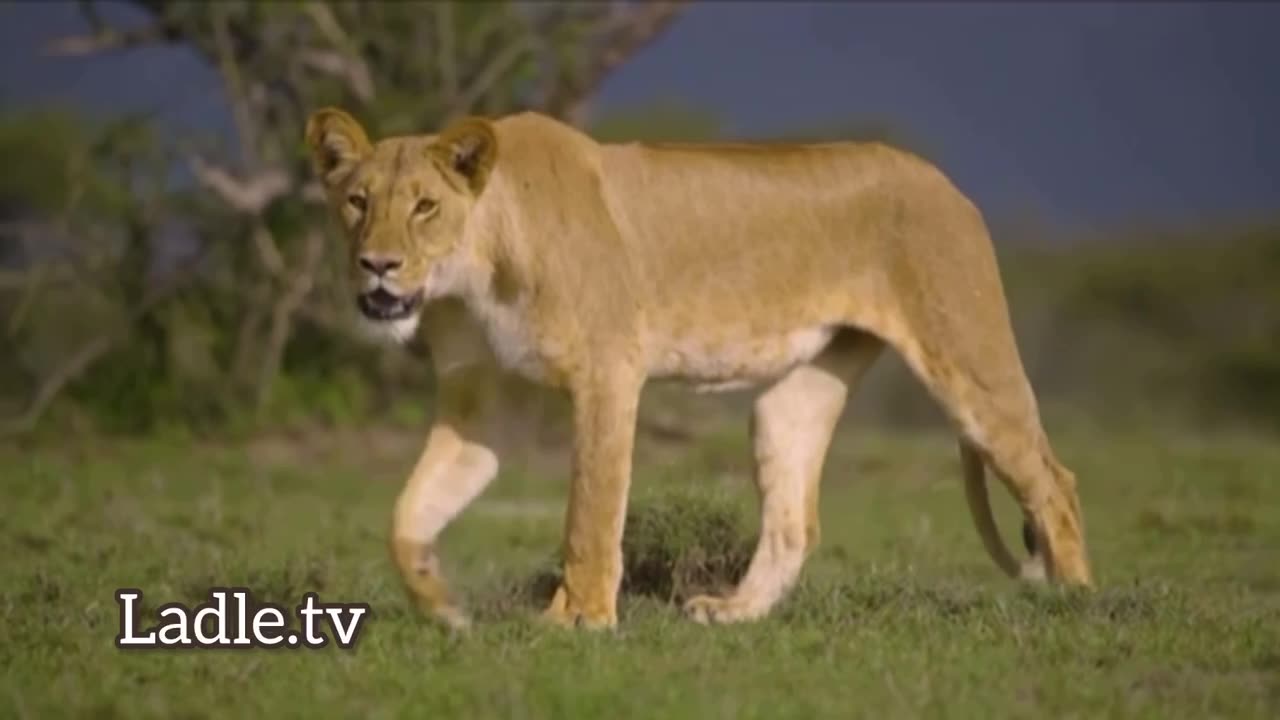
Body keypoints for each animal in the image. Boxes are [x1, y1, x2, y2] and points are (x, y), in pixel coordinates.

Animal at [303, 106, 1093, 630]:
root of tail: (947, 183)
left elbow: (590, 512)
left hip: (967, 357)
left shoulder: (608, 373)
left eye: (425, 207)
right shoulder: (482, 403)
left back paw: (1077, 602)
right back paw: (735, 613)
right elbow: (408, 515)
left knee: (1052, 478)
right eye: (358, 202)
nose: (378, 265)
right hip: (792, 398)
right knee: (794, 520)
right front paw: (441, 604)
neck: (472, 272)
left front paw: (579, 620)